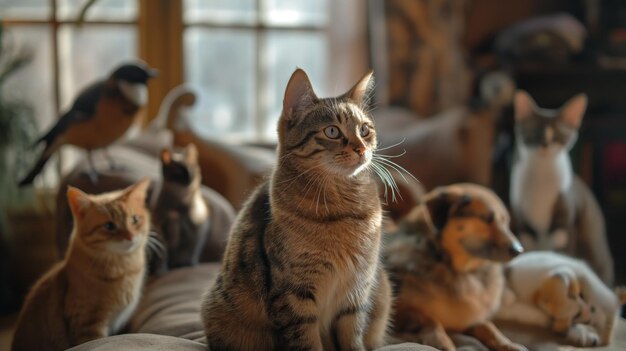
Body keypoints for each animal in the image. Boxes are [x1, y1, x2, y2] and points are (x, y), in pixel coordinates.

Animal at [151, 143, 210, 272]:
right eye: (179, 173)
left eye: (192, 171)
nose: (189, 180)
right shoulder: (161, 231)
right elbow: (163, 255)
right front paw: (162, 271)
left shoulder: (197, 231)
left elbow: (192, 252)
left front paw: (189, 264)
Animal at [200, 69, 390, 351]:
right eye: (332, 131)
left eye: (364, 130)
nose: (362, 148)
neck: (344, 210)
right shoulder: (293, 296)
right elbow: (307, 342)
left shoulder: (356, 293)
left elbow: (353, 338)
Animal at [386, 184, 528, 351]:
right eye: (487, 218)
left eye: (506, 221)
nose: (519, 250)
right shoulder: (399, 311)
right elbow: (429, 319)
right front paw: (441, 342)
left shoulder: (469, 319)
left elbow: (488, 326)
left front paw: (508, 344)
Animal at [508, 89, 608, 284]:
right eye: (535, 132)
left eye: (558, 134)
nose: (545, 144)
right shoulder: (524, 224)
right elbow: (529, 248)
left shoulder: (564, 222)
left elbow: (562, 251)